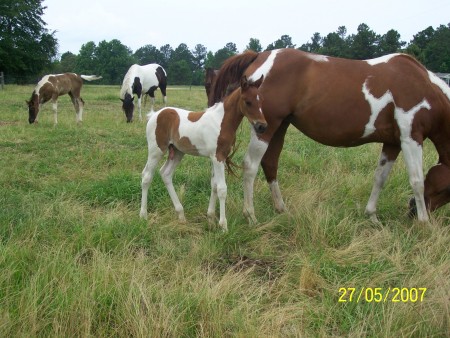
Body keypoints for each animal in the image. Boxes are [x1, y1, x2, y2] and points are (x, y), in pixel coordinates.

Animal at [140, 75, 268, 231]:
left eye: (261, 101)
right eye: (248, 102)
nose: (262, 126)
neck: (221, 122)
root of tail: (155, 115)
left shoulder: (216, 158)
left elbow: (214, 185)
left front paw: (211, 219)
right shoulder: (217, 157)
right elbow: (222, 189)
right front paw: (223, 226)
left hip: (177, 152)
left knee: (166, 174)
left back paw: (181, 215)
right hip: (156, 150)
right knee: (147, 176)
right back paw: (143, 215)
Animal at [210, 48, 450, 224]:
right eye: (445, 189)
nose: (411, 210)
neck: (423, 85)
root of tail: (260, 55)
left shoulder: (393, 143)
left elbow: (380, 178)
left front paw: (372, 215)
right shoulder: (411, 138)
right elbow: (417, 181)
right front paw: (424, 223)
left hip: (278, 127)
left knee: (270, 163)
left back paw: (281, 209)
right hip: (265, 129)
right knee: (250, 166)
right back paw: (250, 215)